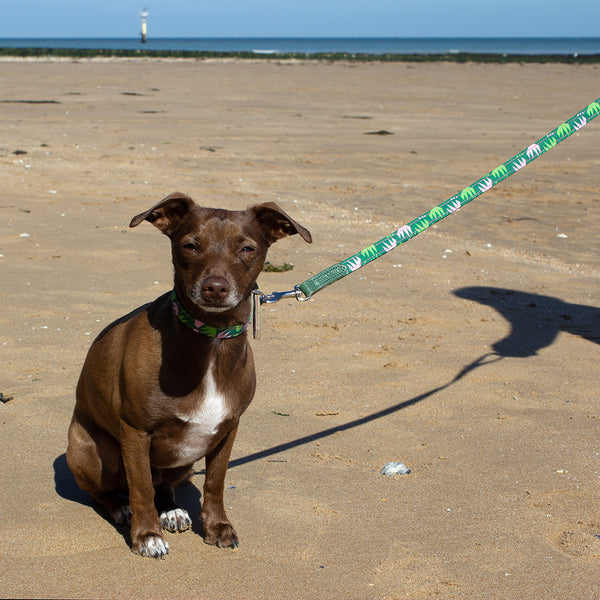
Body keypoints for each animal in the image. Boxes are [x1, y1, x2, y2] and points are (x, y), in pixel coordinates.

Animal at [65, 192, 312, 556]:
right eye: (190, 246)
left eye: (247, 248)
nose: (215, 288)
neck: (211, 337)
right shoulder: (135, 432)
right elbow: (141, 488)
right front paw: (147, 536)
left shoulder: (228, 430)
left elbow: (215, 482)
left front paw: (217, 527)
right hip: (91, 451)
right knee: (108, 492)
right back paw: (123, 508)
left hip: (184, 460)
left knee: (163, 486)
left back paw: (171, 510)